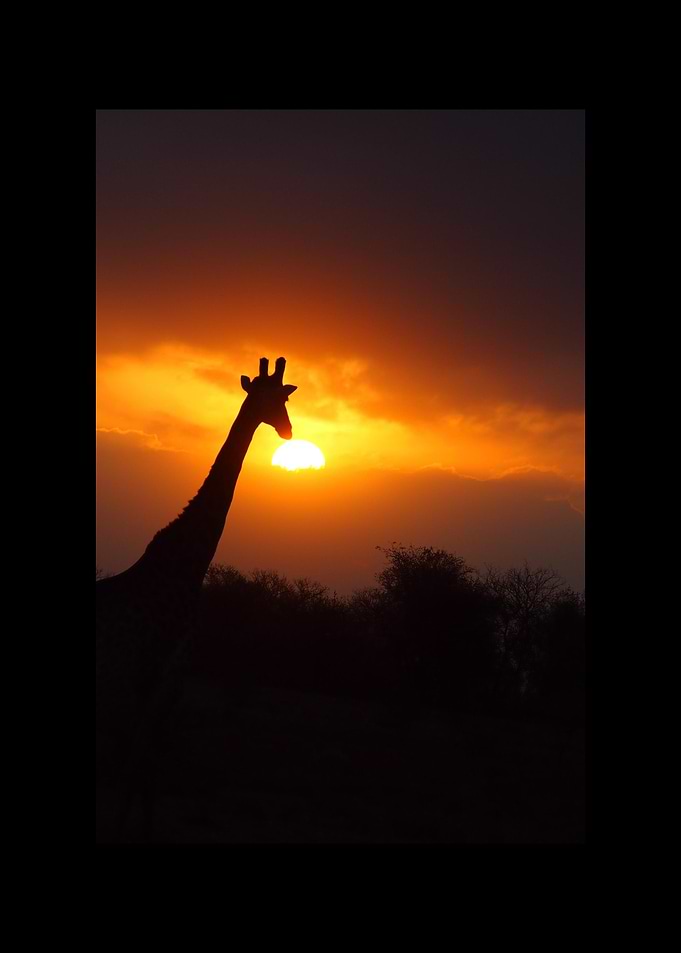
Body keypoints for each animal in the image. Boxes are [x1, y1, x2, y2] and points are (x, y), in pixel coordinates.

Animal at [96, 356, 297, 841]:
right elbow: (140, 764)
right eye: (269, 399)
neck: (185, 566)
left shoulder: (154, 682)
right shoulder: (164, 675)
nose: (288, 431)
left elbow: (144, 765)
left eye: (284, 398)